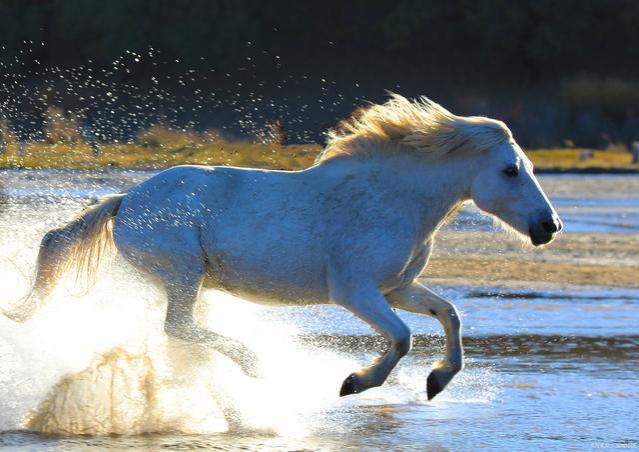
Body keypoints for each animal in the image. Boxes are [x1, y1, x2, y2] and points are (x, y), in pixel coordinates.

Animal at [0, 94, 564, 400]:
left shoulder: (397, 288)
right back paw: (253, 362)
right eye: (510, 171)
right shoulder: (356, 292)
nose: (550, 226)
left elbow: (449, 315)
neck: (391, 199)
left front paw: (438, 382)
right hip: (182, 271)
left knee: (179, 332)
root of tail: (126, 201)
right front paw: (355, 382)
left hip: (189, 279)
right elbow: (403, 338)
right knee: (177, 326)